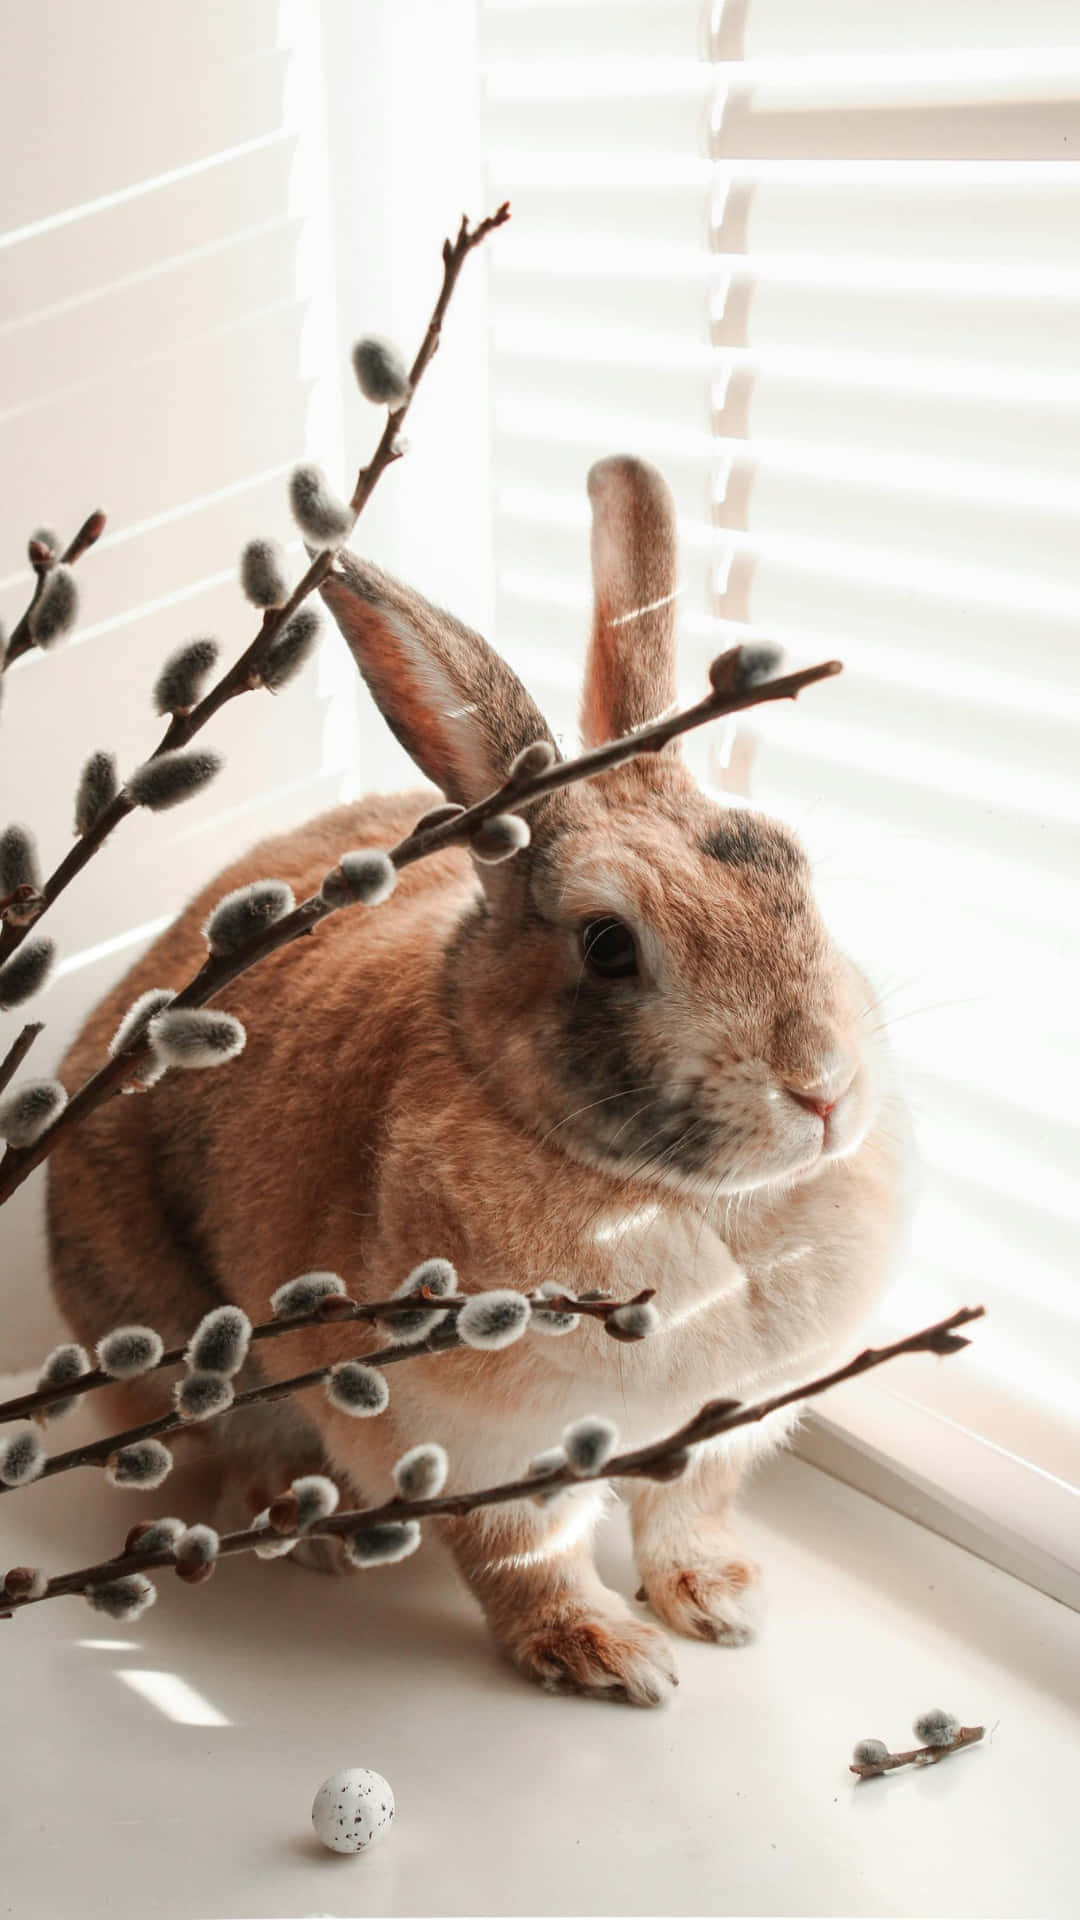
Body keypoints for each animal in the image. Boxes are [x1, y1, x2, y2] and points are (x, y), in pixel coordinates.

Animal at [47, 455, 911, 1706]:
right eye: (608, 946)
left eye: (791, 867)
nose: (824, 1090)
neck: (689, 1203)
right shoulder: (473, 1446)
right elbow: (524, 1557)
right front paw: (610, 1657)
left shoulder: (713, 1437)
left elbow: (683, 1517)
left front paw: (720, 1604)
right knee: (235, 1442)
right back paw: (298, 1526)